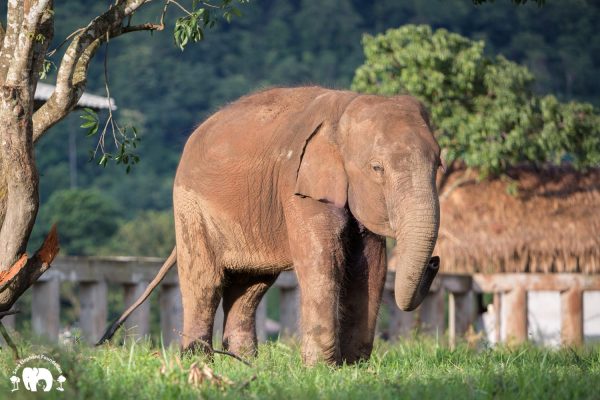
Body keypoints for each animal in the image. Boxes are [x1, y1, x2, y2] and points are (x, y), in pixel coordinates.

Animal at [101, 87, 442, 366]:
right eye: (377, 168)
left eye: (438, 164)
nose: (436, 261)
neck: (347, 106)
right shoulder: (297, 186)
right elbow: (321, 260)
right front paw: (321, 369)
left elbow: (371, 265)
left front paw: (353, 367)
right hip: (189, 205)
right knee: (204, 281)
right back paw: (198, 361)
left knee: (250, 287)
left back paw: (242, 363)